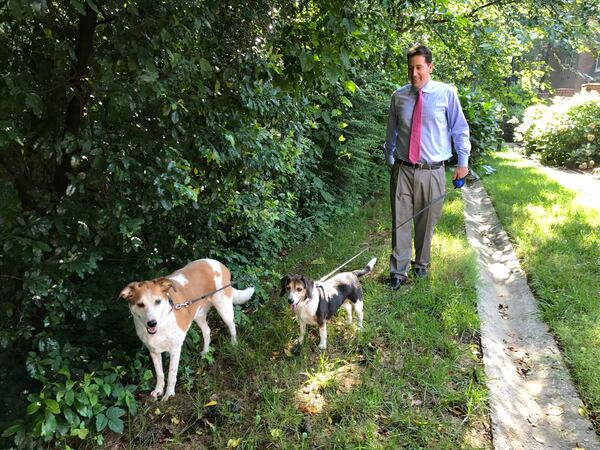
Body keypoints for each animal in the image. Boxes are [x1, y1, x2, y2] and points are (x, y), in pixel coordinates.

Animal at [120, 258, 254, 400]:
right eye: (140, 304)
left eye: (158, 301)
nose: (151, 323)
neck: (163, 323)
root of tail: (218, 263)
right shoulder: (153, 351)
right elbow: (160, 374)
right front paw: (158, 390)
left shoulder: (175, 350)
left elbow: (171, 375)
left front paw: (168, 395)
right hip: (198, 314)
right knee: (207, 331)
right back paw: (205, 352)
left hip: (224, 309)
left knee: (232, 326)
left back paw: (234, 344)